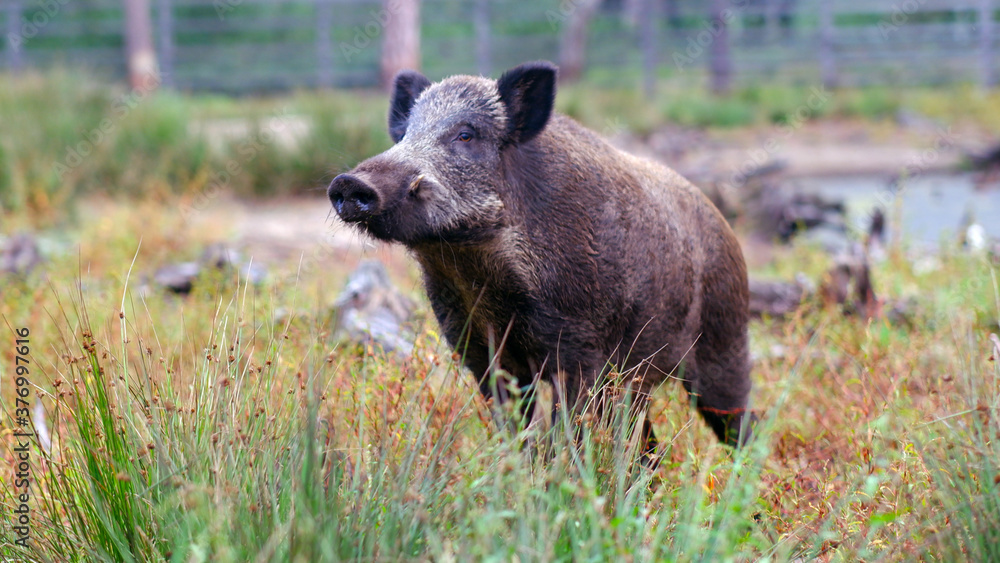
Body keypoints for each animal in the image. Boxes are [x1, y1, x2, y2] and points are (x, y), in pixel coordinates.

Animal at [327, 61, 754, 453]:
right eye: (405, 133)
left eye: (466, 134)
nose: (350, 182)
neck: (478, 274)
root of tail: (725, 226)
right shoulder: (480, 351)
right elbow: (514, 429)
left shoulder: (581, 350)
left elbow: (569, 433)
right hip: (638, 383)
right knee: (647, 444)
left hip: (724, 343)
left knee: (742, 424)